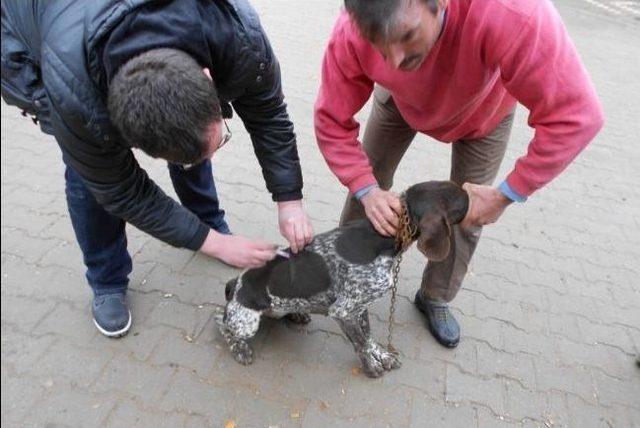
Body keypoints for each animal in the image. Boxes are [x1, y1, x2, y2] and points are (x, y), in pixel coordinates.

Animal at [218, 181, 468, 378]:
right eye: (462, 201)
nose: (470, 191)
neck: (384, 238)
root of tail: (235, 284)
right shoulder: (343, 311)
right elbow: (361, 343)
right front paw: (371, 366)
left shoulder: (360, 307)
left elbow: (368, 336)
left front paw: (382, 355)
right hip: (246, 322)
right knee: (221, 323)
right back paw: (239, 348)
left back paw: (297, 314)